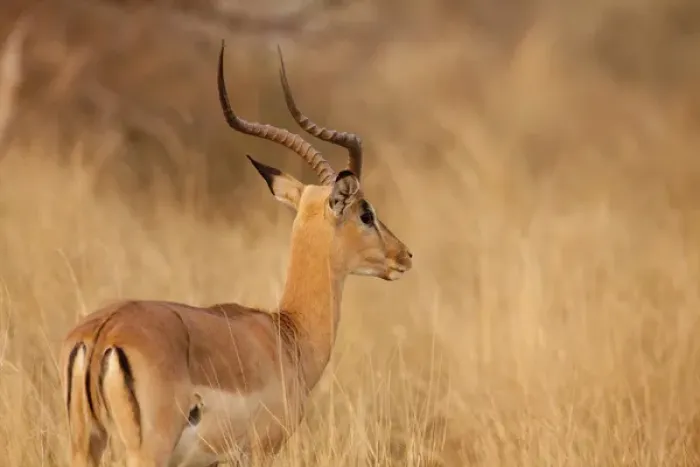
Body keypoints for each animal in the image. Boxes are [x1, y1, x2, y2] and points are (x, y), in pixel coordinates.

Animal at [58, 41, 413, 467]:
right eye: (366, 213)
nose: (404, 255)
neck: (286, 334)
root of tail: (102, 333)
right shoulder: (259, 452)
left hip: (85, 445)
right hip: (146, 451)